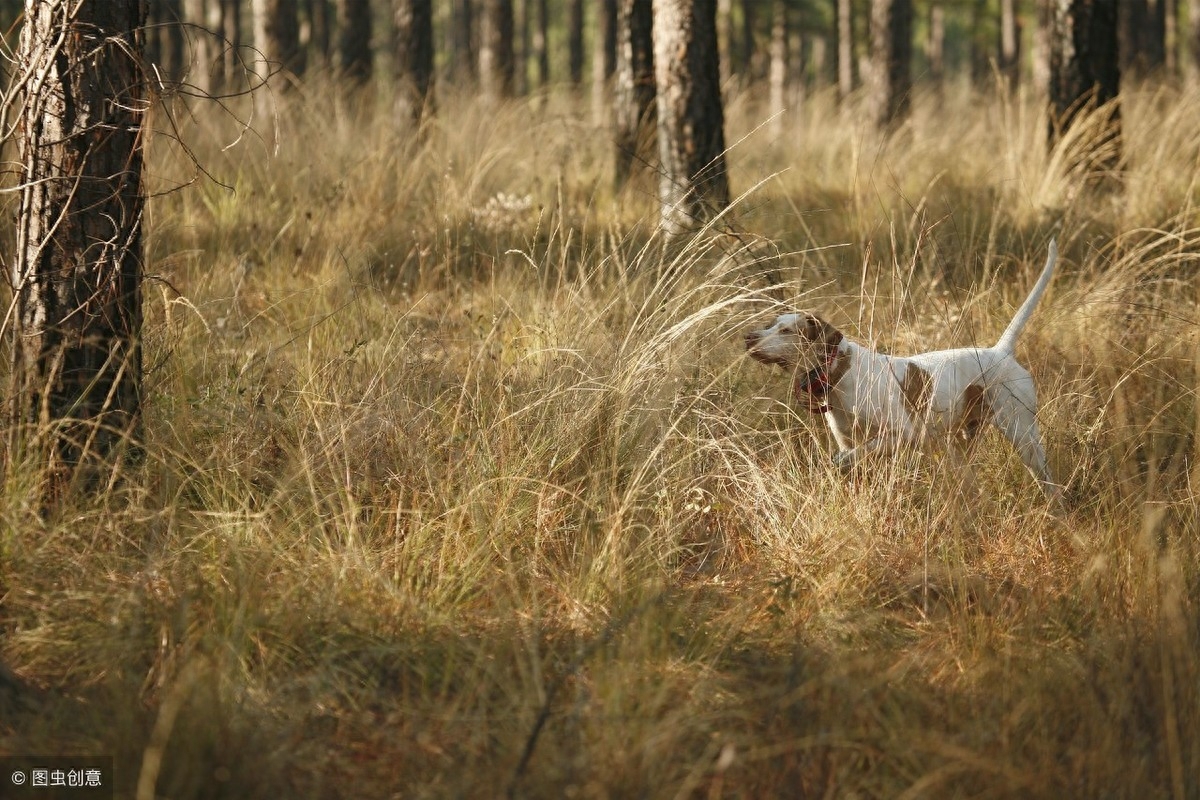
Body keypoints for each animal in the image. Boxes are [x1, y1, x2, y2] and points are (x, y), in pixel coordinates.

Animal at [744, 241, 1065, 503]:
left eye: (786, 331)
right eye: (771, 324)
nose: (749, 337)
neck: (840, 372)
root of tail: (1000, 352)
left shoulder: (905, 434)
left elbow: (854, 454)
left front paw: (839, 462)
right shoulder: (848, 438)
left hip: (1023, 435)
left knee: (1050, 483)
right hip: (964, 444)